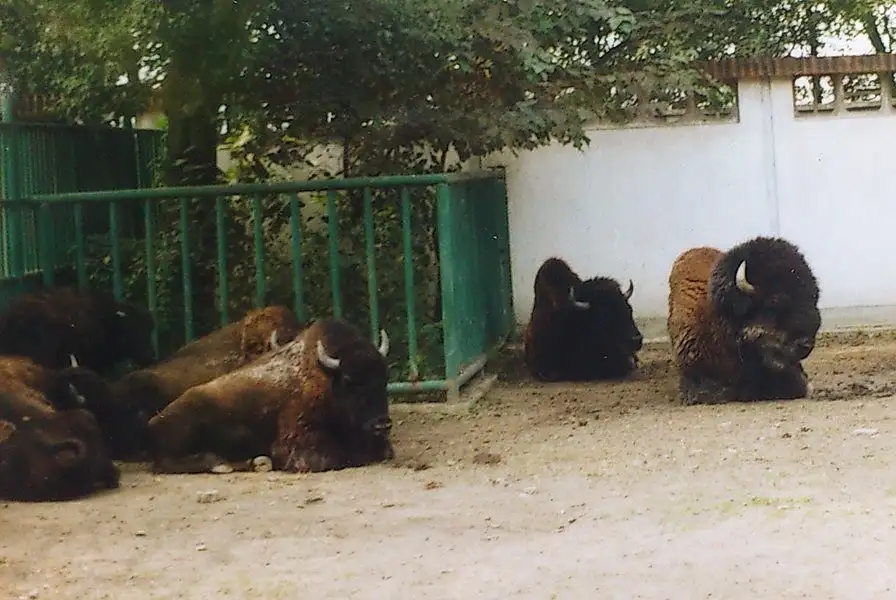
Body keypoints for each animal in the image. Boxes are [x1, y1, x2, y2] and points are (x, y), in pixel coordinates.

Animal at [148, 318, 393, 475]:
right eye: (350, 381)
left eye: (384, 378)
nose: (382, 424)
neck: (325, 377)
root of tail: (154, 421)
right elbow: (336, 458)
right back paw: (223, 464)